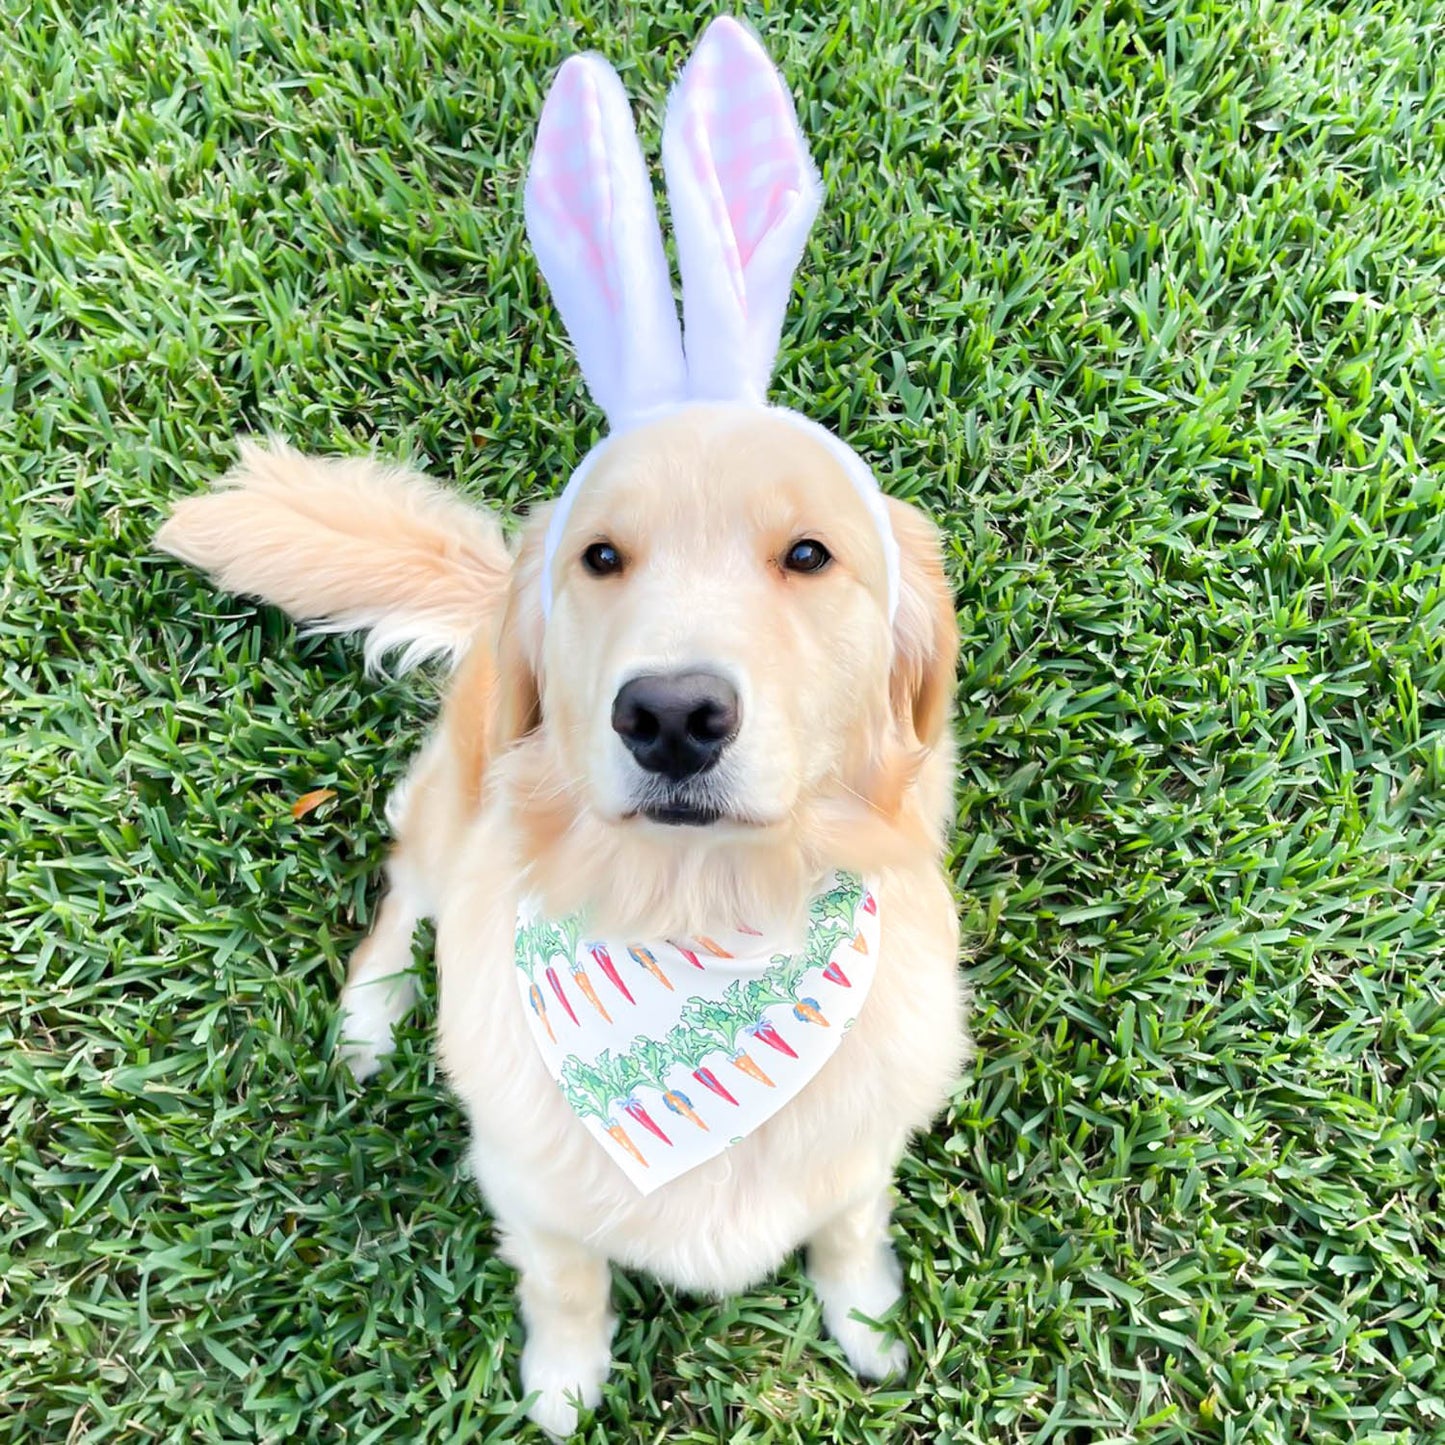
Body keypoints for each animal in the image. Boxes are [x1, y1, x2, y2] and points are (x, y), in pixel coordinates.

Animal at [155, 19, 971, 1433]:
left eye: (809, 553)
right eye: (601, 556)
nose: (671, 714)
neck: (698, 921)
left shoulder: (861, 1145)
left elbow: (846, 1223)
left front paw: (864, 1323)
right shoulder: (528, 1184)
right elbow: (569, 1283)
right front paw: (561, 1385)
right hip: (446, 806)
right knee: (398, 896)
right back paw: (370, 1021)